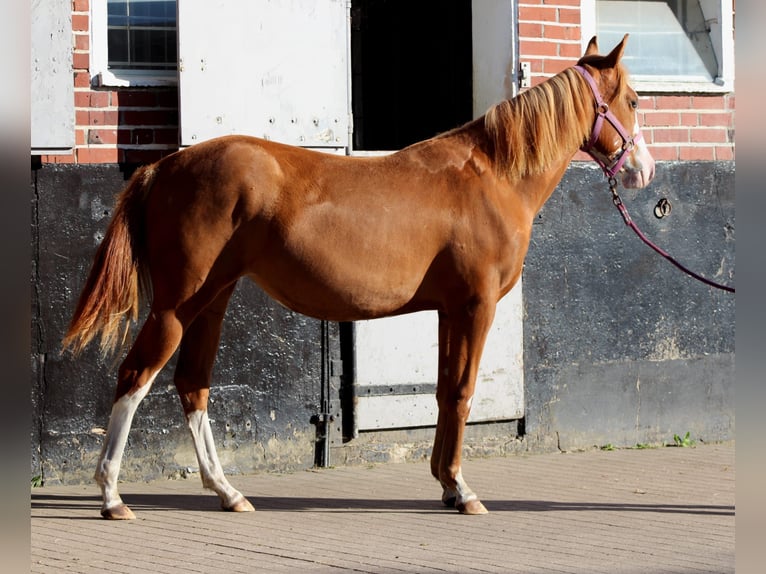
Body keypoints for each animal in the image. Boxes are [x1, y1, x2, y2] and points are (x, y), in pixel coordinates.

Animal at [63, 35, 655, 519]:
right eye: (632, 100)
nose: (644, 171)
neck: (490, 176)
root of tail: (161, 167)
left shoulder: (448, 310)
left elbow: (444, 392)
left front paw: (445, 484)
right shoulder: (475, 306)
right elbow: (464, 392)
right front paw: (463, 490)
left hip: (212, 301)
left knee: (192, 385)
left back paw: (228, 492)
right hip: (176, 306)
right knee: (135, 378)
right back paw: (111, 496)